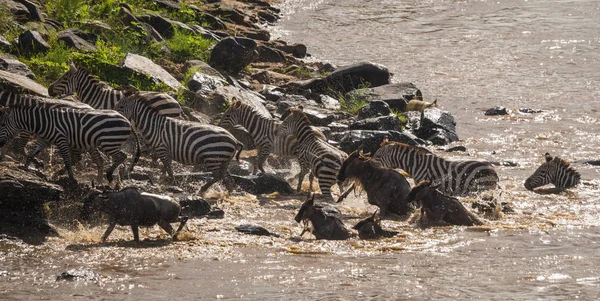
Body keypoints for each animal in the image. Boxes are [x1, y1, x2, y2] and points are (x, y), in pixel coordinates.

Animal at [0, 104, 132, 183]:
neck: (44, 123)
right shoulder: (44, 140)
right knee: (105, 159)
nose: (0, 144)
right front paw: (28, 166)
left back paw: (108, 175)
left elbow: (67, 160)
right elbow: (33, 152)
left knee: (122, 156)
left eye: (2, 124)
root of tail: (127, 121)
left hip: (108, 142)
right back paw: (100, 182)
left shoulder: (61, 140)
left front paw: (72, 179)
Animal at [112, 92, 244, 191]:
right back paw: (225, 194)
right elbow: (162, 166)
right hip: (224, 161)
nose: (112, 115)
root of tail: (235, 140)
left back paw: (203, 190)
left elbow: (168, 168)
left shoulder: (162, 148)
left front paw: (172, 183)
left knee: (218, 176)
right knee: (228, 179)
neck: (153, 126)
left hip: (214, 159)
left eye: (121, 107)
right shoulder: (159, 149)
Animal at [372, 139, 500, 196]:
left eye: (378, 156)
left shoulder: (425, 182)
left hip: (483, 186)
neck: (416, 165)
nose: (371, 164)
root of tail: (492, 168)